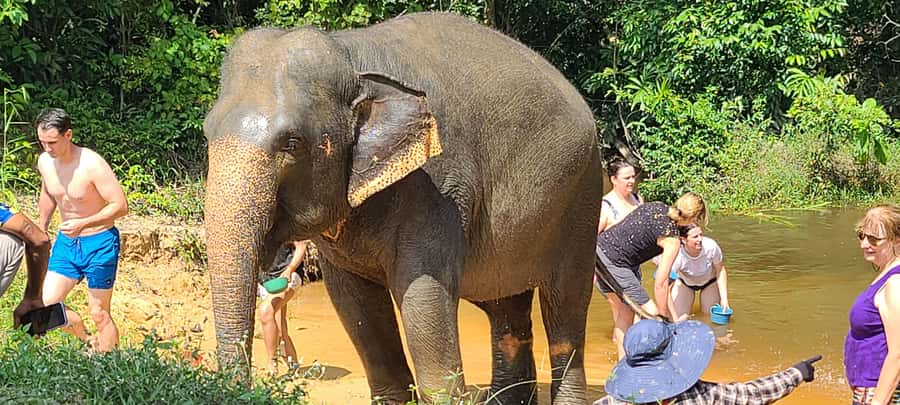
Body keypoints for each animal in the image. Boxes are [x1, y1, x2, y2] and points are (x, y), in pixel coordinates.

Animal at [203, 12, 602, 404]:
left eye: (292, 143)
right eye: (207, 133)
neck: (351, 54)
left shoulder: (437, 188)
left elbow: (425, 304)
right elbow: (356, 308)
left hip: (582, 198)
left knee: (565, 314)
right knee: (507, 313)